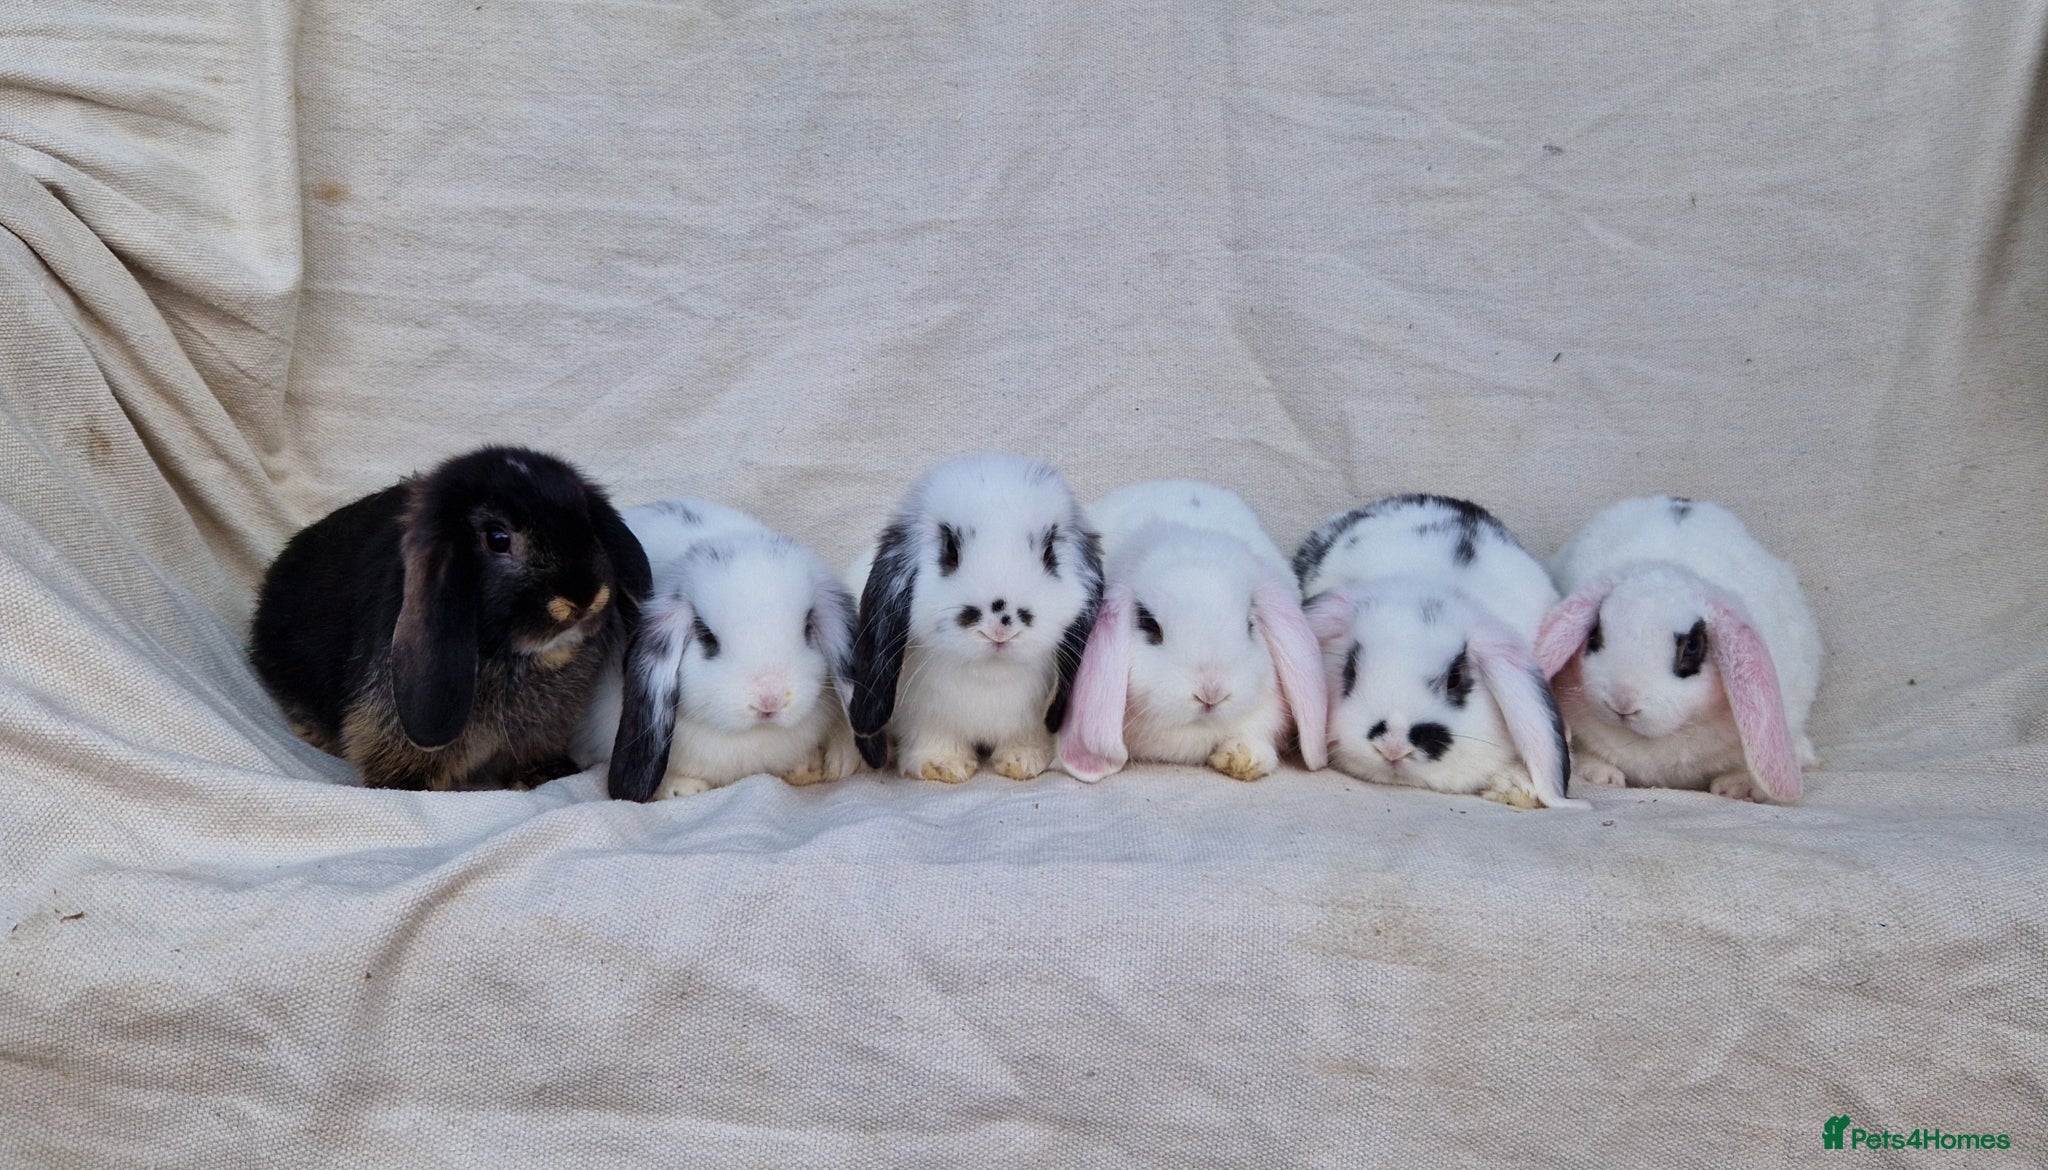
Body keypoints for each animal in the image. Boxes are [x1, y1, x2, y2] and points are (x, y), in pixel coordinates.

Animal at [846, 452, 1103, 783]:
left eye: (1049, 552)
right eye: (950, 550)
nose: (1000, 625)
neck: (989, 674)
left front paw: (1022, 762)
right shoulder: (925, 715)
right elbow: (933, 736)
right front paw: (942, 767)